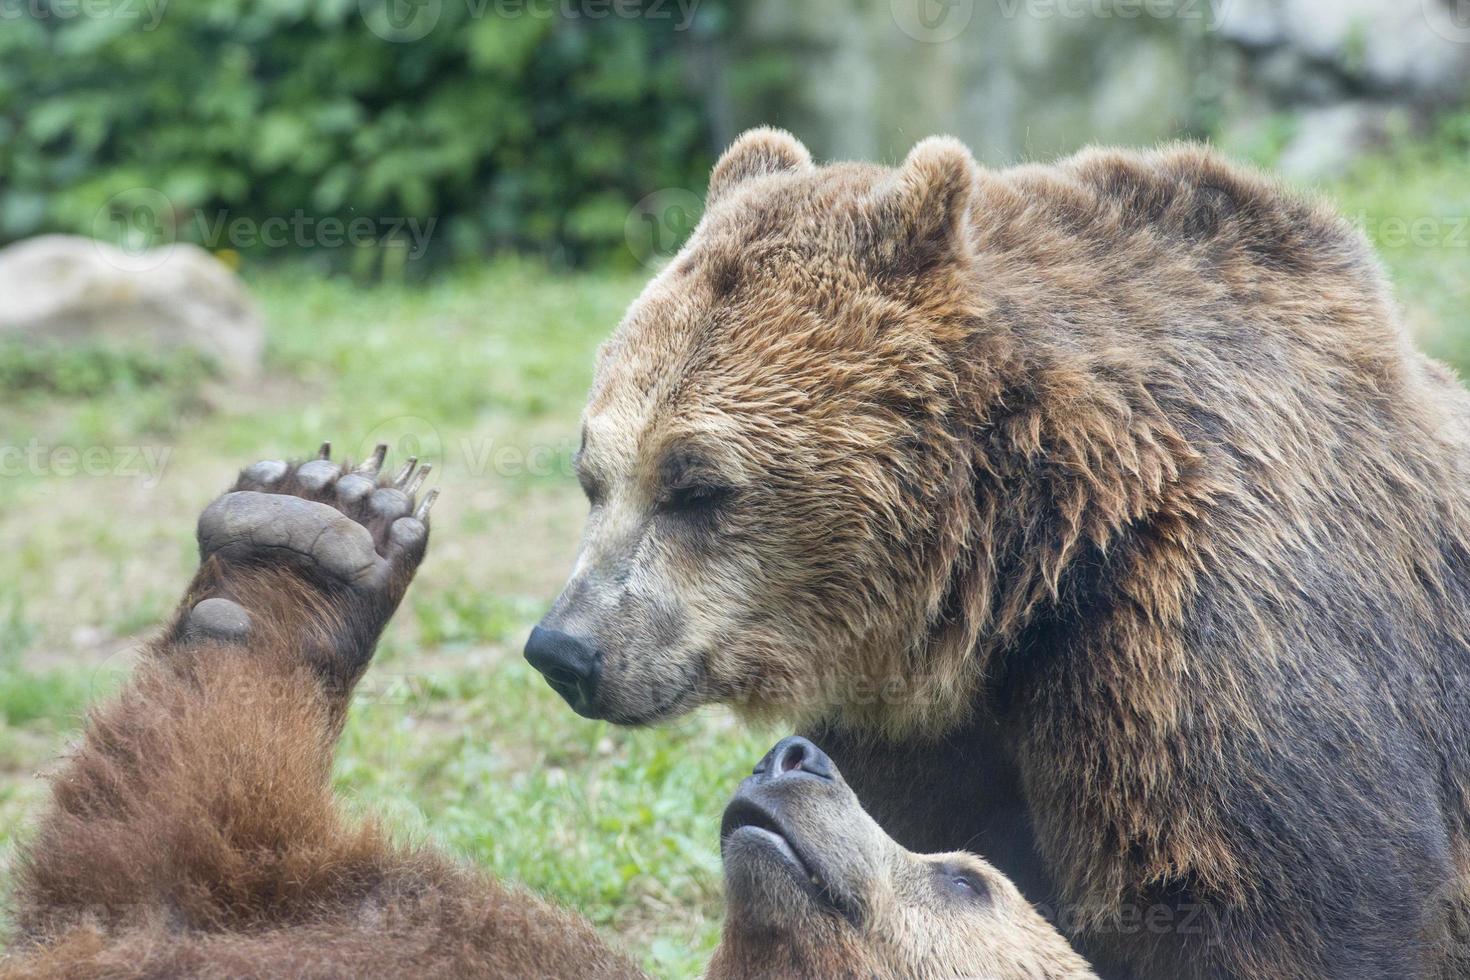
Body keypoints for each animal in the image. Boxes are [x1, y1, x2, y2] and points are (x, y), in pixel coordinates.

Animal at [0, 446, 1093, 980]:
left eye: (965, 877)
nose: (796, 755)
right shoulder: (436, 923)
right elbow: (194, 850)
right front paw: (313, 527)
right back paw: (304, 538)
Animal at [532, 132, 1470, 980]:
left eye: (696, 486)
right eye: (593, 476)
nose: (563, 648)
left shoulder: (1209, 636)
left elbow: (1289, 903)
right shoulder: (920, 734)